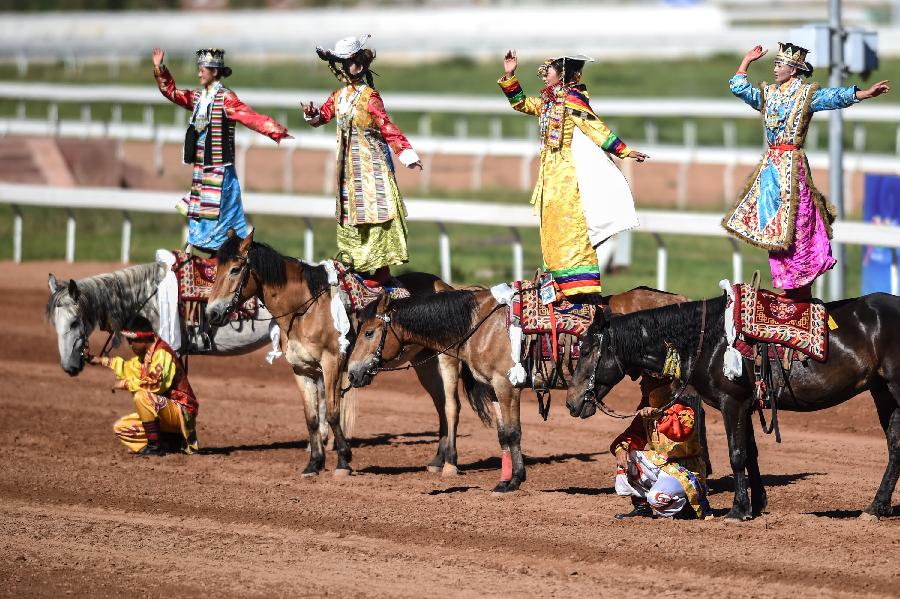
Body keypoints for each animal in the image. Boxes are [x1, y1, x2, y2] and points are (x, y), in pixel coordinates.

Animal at [205, 232, 492, 480]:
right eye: (215, 269)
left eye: (235, 269)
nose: (212, 312)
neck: (305, 309)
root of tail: (448, 287)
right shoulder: (301, 369)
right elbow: (311, 418)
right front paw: (313, 464)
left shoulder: (332, 363)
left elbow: (332, 411)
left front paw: (343, 460)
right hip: (425, 365)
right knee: (440, 405)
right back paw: (437, 461)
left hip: (446, 360)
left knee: (452, 406)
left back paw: (451, 462)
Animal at [348, 286, 684, 492]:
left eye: (369, 332)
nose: (352, 371)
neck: (480, 325)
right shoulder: (493, 389)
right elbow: (502, 435)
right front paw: (505, 481)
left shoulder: (506, 386)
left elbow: (513, 433)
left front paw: (514, 482)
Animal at [568, 292, 900, 520]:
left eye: (586, 349)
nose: (572, 401)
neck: (708, 340)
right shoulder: (747, 406)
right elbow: (751, 454)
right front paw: (757, 504)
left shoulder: (733, 403)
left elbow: (737, 454)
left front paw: (738, 510)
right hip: (883, 393)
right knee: (895, 447)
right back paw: (875, 507)